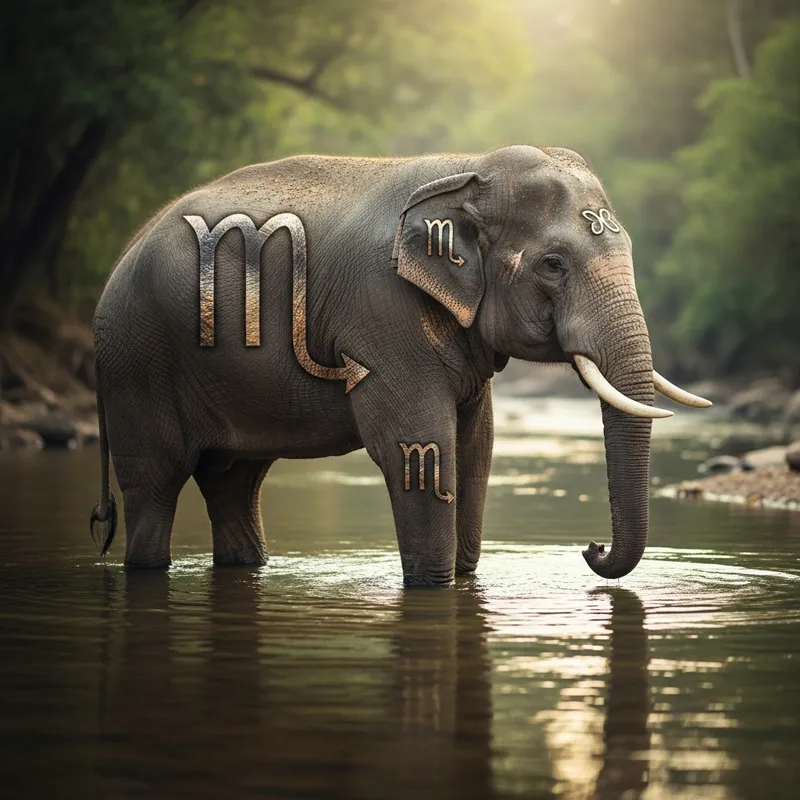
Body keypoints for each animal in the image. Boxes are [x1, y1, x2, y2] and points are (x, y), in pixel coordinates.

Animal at [89, 145, 711, 584]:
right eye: (553, 264)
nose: (591, 547)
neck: (469, 169)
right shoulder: (383, 311)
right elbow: (416, 448)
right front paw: (434, 584)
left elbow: (476, 448)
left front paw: (462, 576)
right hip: (136, 363)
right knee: (155, 485)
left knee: (233, 482)